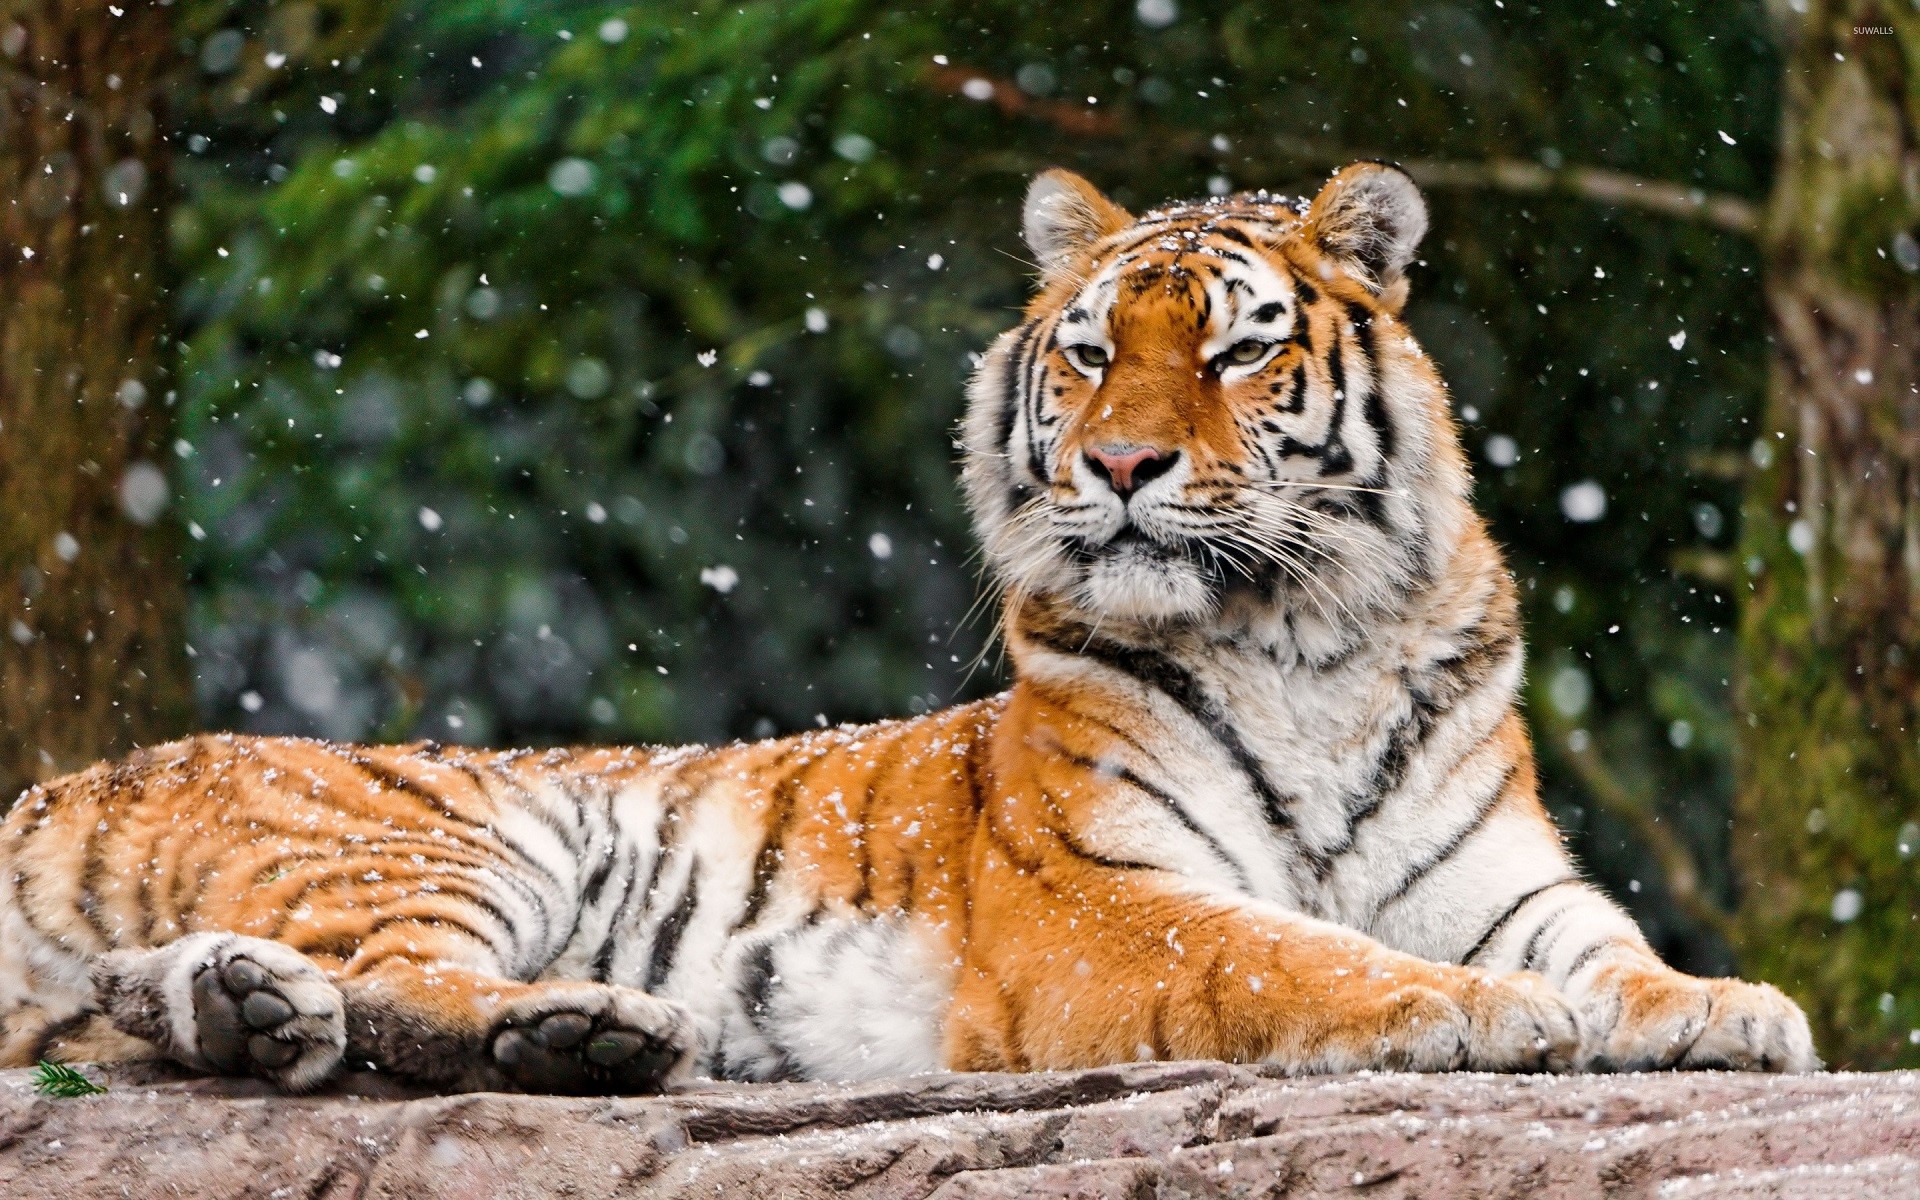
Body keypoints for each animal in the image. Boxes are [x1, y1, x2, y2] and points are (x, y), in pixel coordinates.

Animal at [0, 163, 1816, 1095]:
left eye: (1236, 351)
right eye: (1090, 351)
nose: (1123, 466)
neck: (1308, 638)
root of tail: (65, 780)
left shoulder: (1504, 878)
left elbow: (1610, 948)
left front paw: (1726, 1007)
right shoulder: (1106, 902)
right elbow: (1294, 953)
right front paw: (1473, 1012)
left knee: (217, 998)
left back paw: (280, 1015)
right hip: (445, 833)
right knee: (392, 985)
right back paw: (579, 1028)